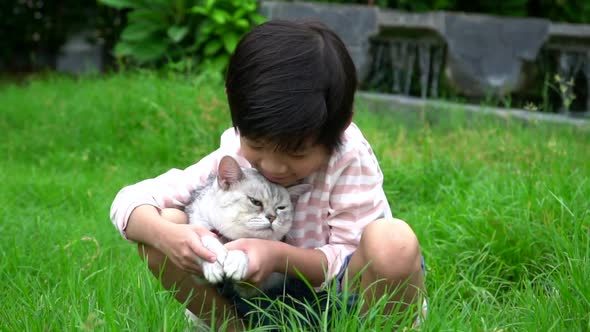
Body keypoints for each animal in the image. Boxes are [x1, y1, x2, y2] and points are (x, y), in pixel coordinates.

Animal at [187, 154, 312, 296]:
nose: (272, 217)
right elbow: (206, 238)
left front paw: (237, 260)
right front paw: (214, 261)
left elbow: (245, 244)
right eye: (255, 202)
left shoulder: (253, 288)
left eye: (281, 208)